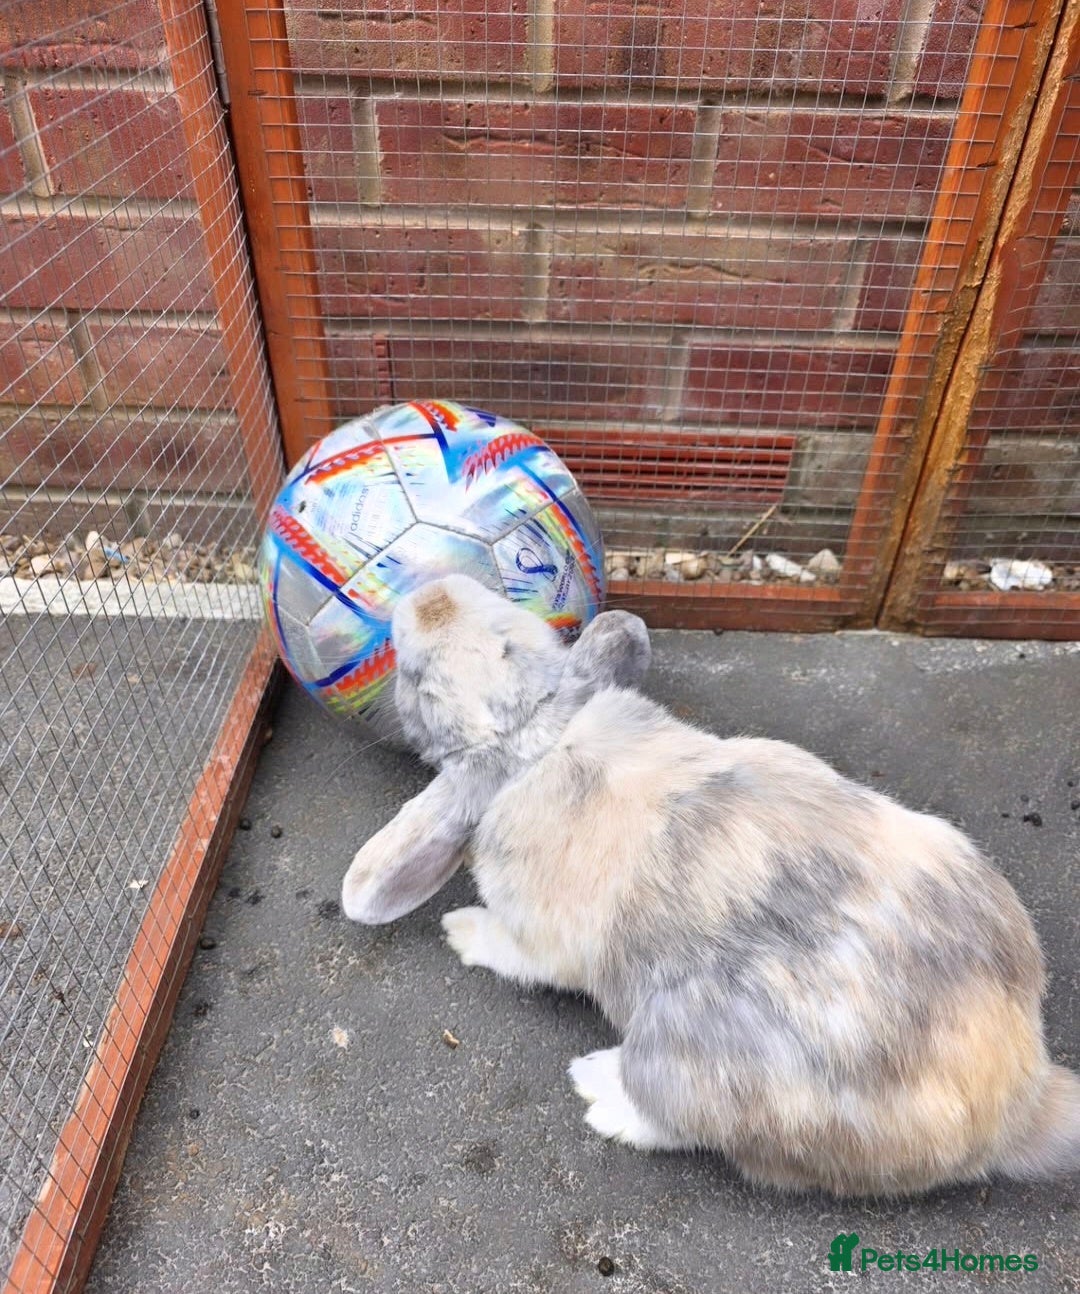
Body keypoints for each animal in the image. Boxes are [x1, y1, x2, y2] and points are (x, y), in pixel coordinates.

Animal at [341, 573, 1080, 1197]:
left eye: (415, 679)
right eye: (512, 626)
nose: (430, 594)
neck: (542, 735)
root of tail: (1017, 1105)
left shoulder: (536, 935)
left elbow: (514, 951)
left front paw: (460, 930)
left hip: (693, 1056)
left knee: (689, 1128)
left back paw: (600, 1091)